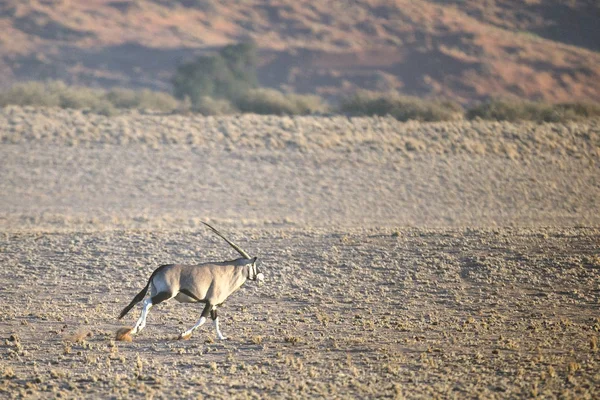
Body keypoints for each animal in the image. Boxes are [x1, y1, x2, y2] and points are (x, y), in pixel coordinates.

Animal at [116, 222, 264, 340]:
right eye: (254, 265)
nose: (261, 276)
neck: (226, 273)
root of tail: (160, 268)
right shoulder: (210, 302)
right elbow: (202, 320)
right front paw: (183, 334)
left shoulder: (214, 305)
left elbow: (215, 320)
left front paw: (222, 337)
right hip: (167, 294)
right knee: (147, 302)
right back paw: (136, 329)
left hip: (157, 292)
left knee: (148, 304)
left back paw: (136, 328)